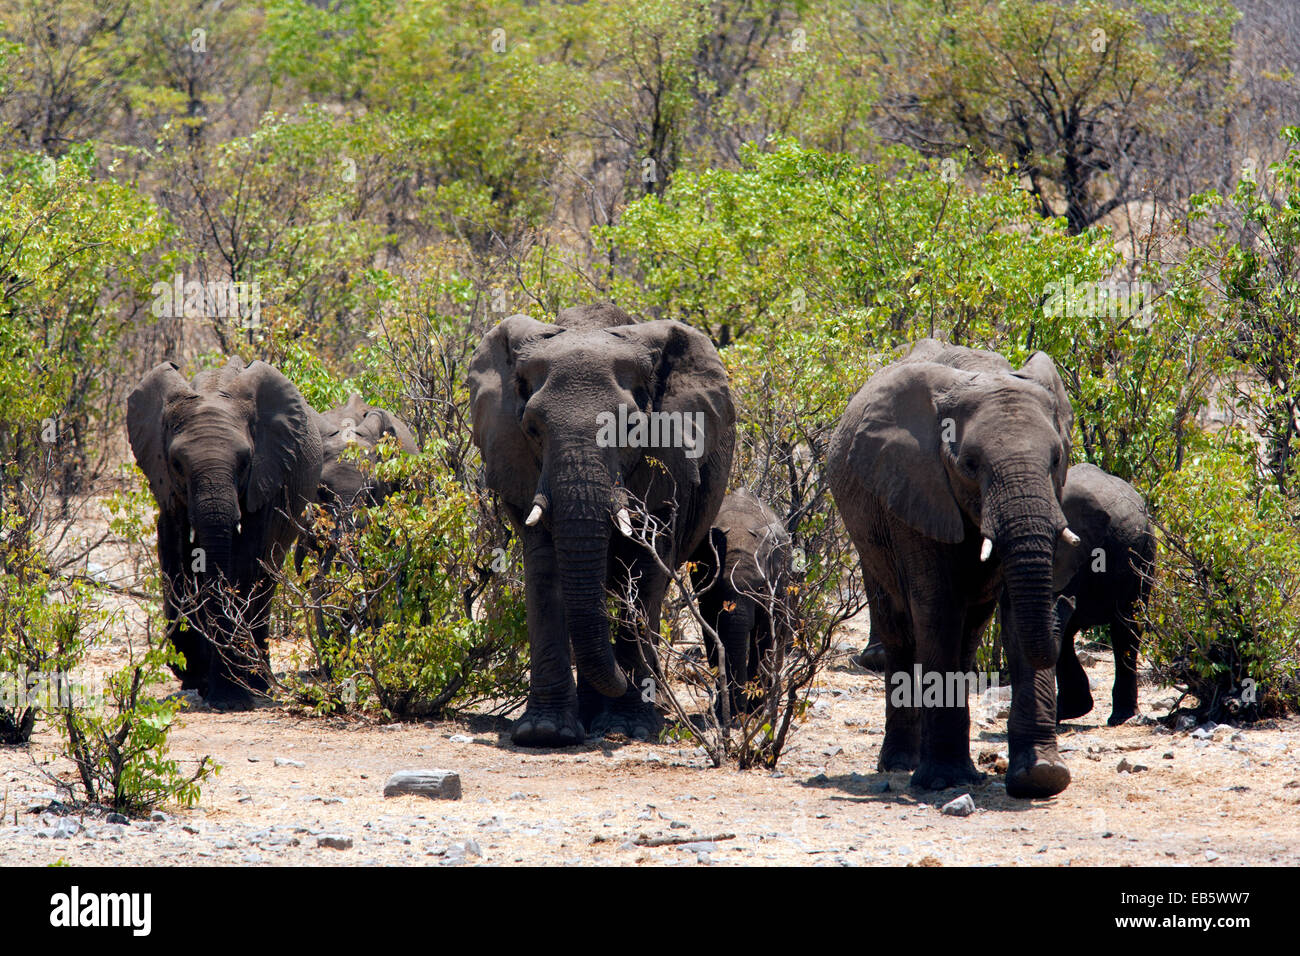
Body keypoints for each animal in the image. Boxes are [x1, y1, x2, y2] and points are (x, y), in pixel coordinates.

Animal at [127, 357, 322, 709]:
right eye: (177, 464)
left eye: (245, 462)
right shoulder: (167, 488)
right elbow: (177, 560)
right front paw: (198, 678)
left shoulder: (265, 478)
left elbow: (243, 565)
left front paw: (230, 698)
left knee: (266, 577)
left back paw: (259, 684)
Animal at [468, 302, 735, 746]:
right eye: (532, 429)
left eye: (631, 428)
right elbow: (546, 572)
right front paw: (546, 733)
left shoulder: (667, 465)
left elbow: (645, 574)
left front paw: (629, 728)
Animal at [688, 489, 795, 720]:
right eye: (717, 588)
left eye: (760, 587)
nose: (738, 715)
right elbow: (712, 629)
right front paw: (722, 710)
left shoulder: (774, 582)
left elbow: (765, 631)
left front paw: (755, 710)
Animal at [828, 338, 1079, 798]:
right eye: (970, 465)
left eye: (1056, 459)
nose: (1067, 603)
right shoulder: (915, 488)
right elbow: (938, 607)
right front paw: (945, 780)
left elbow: (1015, 611)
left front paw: (1041, 777)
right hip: (866, 528)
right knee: (900, 629)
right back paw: (901, 763)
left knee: (970, 634)